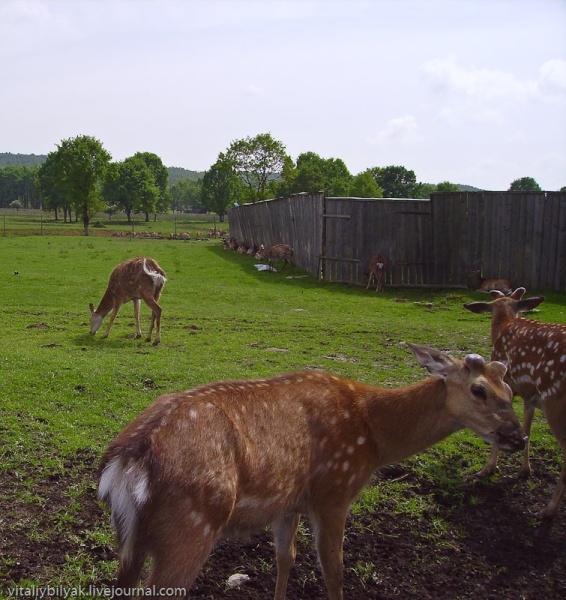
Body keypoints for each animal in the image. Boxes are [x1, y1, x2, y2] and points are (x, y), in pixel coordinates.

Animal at [98, 342, 528, 596]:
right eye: (478, 390)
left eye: (510, 391)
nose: (518, 437)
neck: (374, 436)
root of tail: (127, 460)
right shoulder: (333, 492)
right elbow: (334, 569)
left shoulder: (288, 503)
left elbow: (285, 558)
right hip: (192, 523)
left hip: (130, 538)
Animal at [466, 288, 566, 516]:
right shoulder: (529, 396)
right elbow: (527, 428)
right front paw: (525, 470)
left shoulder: (504, 385)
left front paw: (488, 468)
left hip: (555, 401)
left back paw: (548, 510)